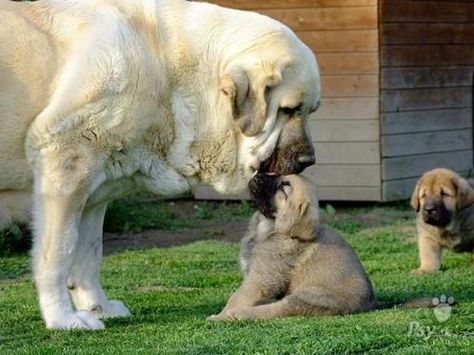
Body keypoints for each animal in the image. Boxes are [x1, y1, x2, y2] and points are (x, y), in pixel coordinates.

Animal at [0, 0, 320, 330]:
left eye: (310, 110)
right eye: (288, 110)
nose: (309, 160)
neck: (167, 68)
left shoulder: (95, 191)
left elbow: (89, 254)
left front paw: (98, 307)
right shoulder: (67, 164)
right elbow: (58, 254)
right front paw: (63, 319)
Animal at [206, 175, 376, 322]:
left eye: (284, 187)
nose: (257, 175)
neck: (275, 231)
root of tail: (369, 304)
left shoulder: (262, 279)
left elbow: (237, 296)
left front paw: (220, 316)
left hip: (306, 296)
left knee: (275, 310)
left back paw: (238, 314)